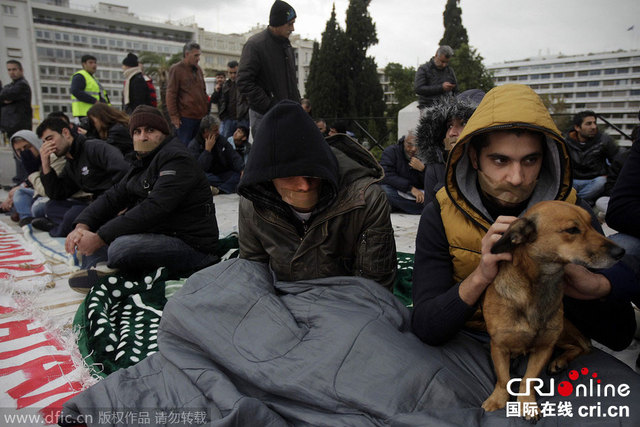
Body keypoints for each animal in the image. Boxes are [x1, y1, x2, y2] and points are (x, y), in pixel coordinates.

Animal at [482, 201, 624, 422]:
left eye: (591, 224)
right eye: (572, 230)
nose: (621, 252)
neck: (540, 286)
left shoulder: (545, 346)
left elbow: (529, 378)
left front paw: (527, 404)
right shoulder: (499, 345)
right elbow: (503, 378)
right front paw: (497, 400)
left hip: (561, 331)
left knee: (582, 347)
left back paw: (559, 361)